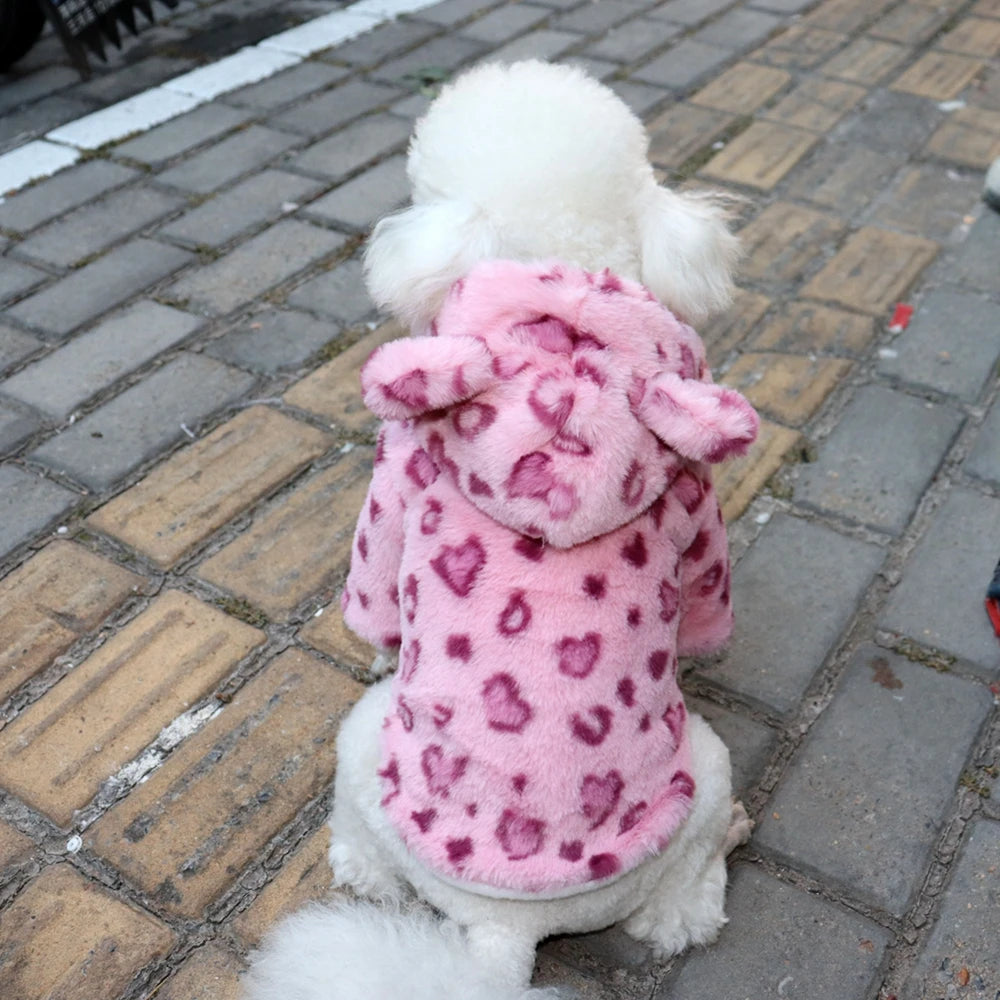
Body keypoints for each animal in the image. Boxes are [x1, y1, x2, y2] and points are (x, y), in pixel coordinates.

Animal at [244, 60, 752, 1000]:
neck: (563, 335)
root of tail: (503, 932)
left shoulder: (392, 489)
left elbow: (376, 602)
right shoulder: (697, 503)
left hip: (369, 747)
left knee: (687, 908)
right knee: (673, 914)